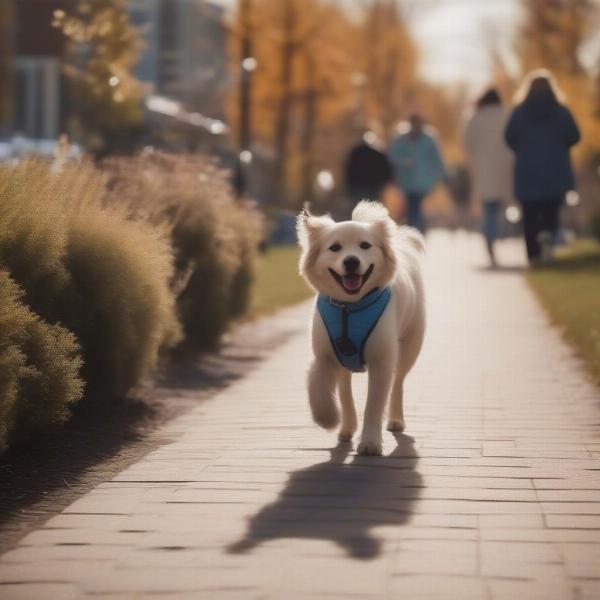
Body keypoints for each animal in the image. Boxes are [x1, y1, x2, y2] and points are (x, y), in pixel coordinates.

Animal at [298, 202, 424, 454]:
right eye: (334, 247)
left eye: (365, 245)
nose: (351, 261)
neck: (350, 307)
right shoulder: (325, 354)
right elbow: (317, 388)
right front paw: (328, 418)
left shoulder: (381, 359)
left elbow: (374, 404)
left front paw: (370, 442)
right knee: (345, 391)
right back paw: (346, 428)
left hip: (410, 345)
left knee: (398, 382)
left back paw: (395, 420)